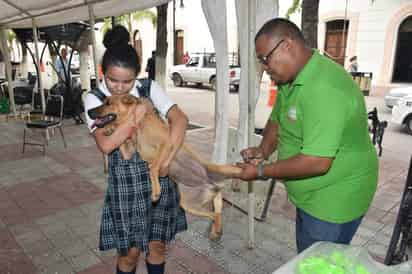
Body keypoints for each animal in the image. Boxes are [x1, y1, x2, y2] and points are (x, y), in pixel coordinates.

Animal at [90, 94, 241, 240]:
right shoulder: (128, 152)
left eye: (108, 103)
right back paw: (216, 232)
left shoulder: (166, 144)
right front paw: (110, 129)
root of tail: (211, 183)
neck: (138, 123)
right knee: (216, 214)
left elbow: (153, 168)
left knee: (233, 179)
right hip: (189, 203)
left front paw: (156, 191)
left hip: (223, 170)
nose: (89, 111)